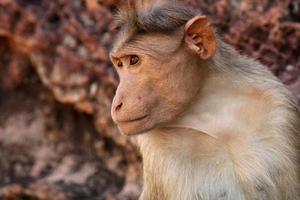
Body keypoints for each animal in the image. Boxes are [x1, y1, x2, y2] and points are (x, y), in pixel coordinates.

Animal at [109, 0, 298, 199]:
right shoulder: (157, 147)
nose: (116, 105)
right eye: (120, 64)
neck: (213, 114)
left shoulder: (279, 107)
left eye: (134, 60)